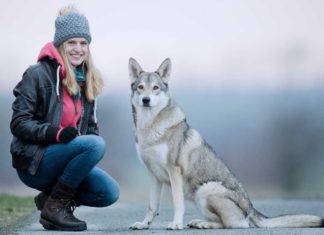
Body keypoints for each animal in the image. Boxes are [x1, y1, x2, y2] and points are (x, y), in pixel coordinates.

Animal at [128, 57, 322, 230]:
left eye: (155, 88)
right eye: (140, 88)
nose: (146, 100)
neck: (149, 127)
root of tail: (251, 209)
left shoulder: (174, 170)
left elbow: (177, 203)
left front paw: (176, 224)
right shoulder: (153, 174)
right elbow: (152, 205)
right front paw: (144, 224)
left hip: (205, 191)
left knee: (234, 224)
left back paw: (204, 224)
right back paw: (198, 222)